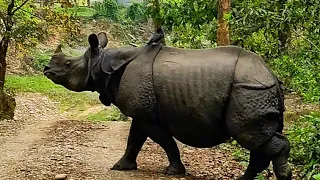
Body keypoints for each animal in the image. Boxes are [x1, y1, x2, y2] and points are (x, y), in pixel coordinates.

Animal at [44, 31, 292, 179]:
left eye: (68, 64)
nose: (46, 69)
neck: (103, 63)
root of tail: (272, 74)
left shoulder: (146, 114)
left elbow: (164, 141)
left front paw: (173, 171)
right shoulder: (142, 111)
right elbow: (134, 139)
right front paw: (121, 166)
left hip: (249, 89)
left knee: (249, 134)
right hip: (255, 90)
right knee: (259, 138)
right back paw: (244, 179)